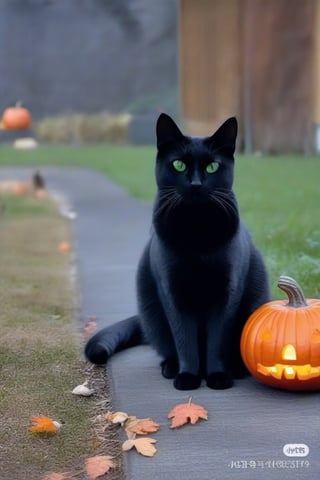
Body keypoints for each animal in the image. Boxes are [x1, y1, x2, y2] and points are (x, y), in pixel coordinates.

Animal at [85, 113, 270, 390]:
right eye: (179, 165)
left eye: (213, 167)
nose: (195, 184)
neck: (196, 234)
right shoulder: (171, 291)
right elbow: (185, 339)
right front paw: (188, 377)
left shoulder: (227, 291)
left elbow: (217, 339)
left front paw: (217, 376)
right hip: (152, 311)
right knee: (168, 346)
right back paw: (171, 367)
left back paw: (236, 369)